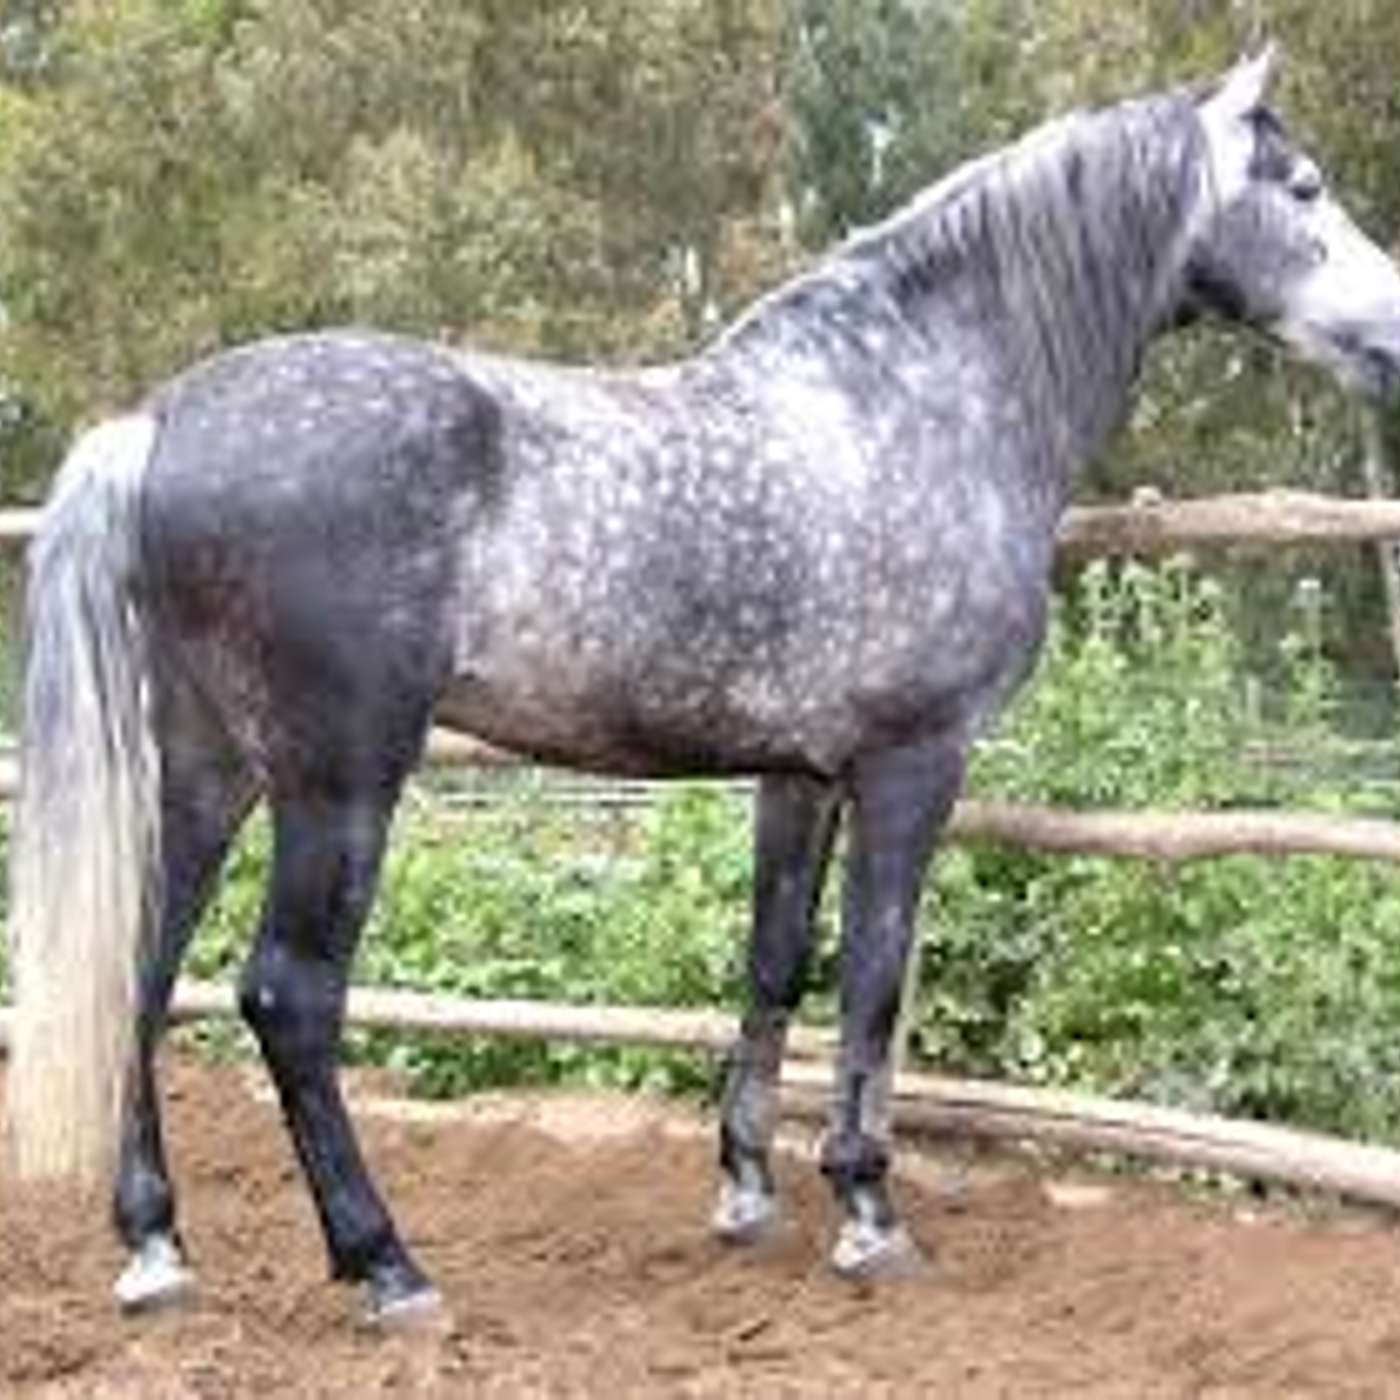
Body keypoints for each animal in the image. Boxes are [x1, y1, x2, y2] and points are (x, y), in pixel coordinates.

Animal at [7, 47, 1400, 1324]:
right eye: (1303, 188)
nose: (1392, 341)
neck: (916, 400)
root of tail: (158, 421)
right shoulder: (912, 763)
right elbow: (872, 977)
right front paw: (867, 1212)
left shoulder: (797, 773)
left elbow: (774, 961)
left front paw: (745, 1190)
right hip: (338, 780)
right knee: (288, 997)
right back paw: (388, 1266)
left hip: (206, 768)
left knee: (140, 970)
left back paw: (156, 1245)